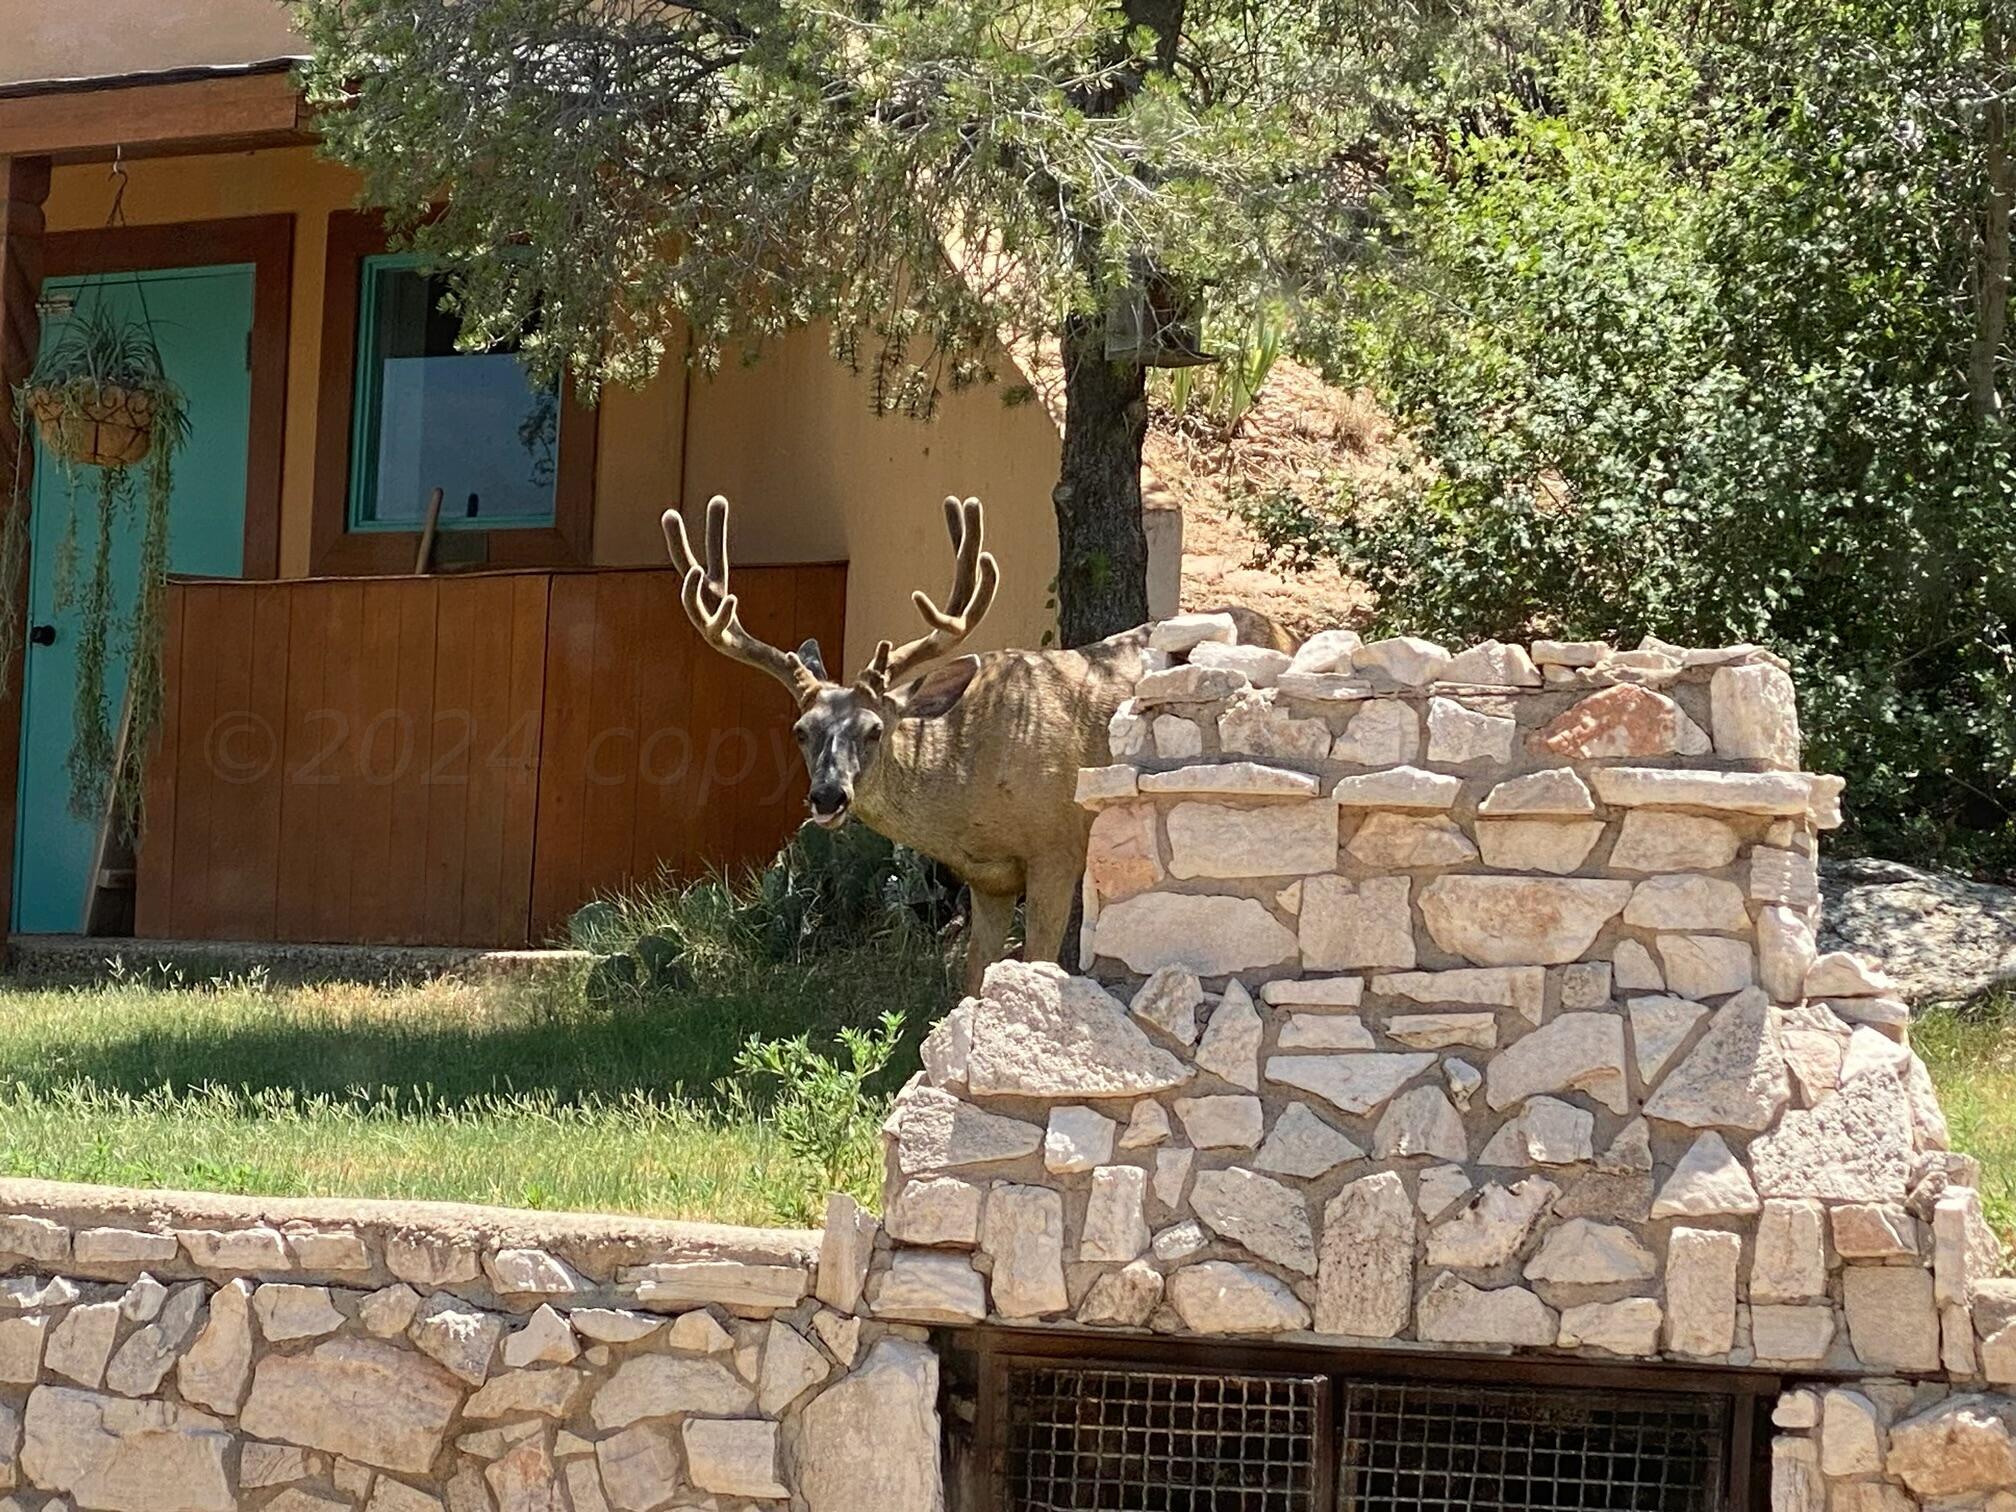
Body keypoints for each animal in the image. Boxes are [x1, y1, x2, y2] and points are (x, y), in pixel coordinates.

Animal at [664, 493, 1173, 994]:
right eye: (801, 730)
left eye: (874, 729)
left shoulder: (1056, 849)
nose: (827, 796)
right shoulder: (989, 878)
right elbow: (975, 974)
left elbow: (1037, 960)